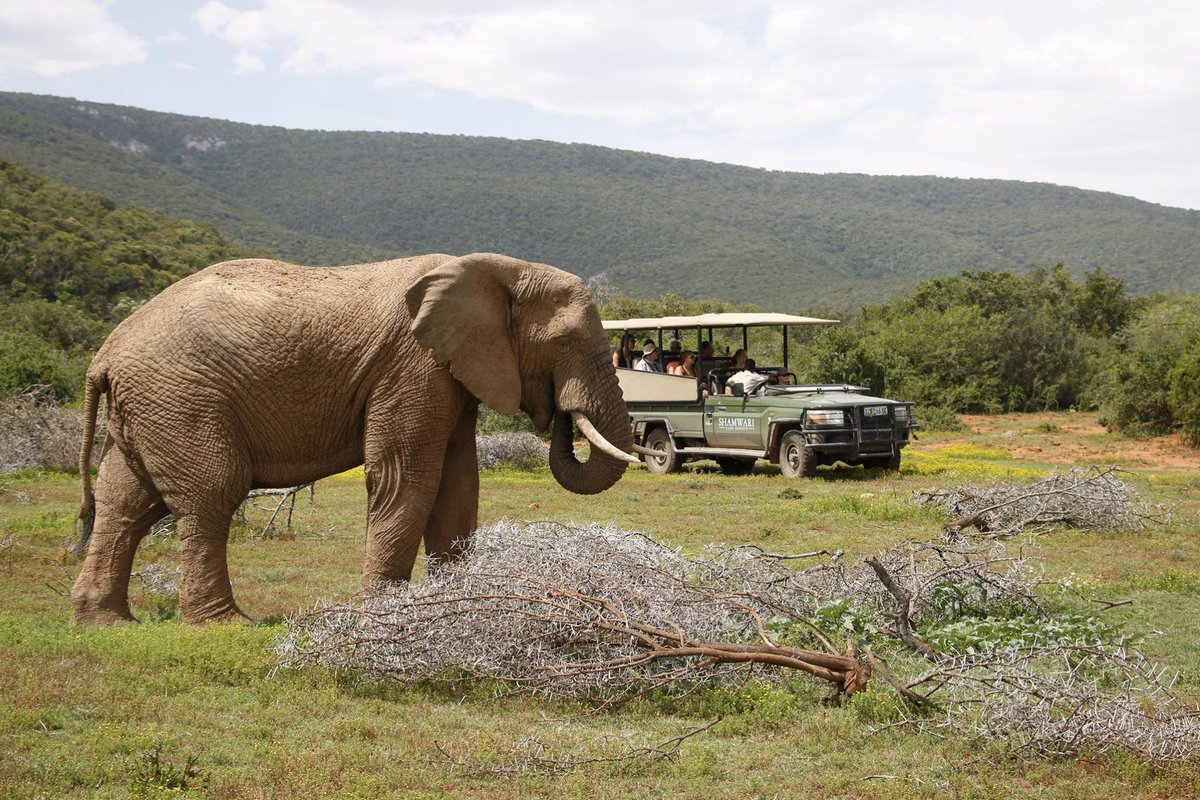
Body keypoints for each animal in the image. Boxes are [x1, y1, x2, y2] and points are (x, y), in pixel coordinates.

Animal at [70, 252, 637, 625]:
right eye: (565, 342)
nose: (559, 413)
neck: (497, 269)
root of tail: (104, 354)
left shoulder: (449, 373)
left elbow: (458, 485)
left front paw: (461, 604)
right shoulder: (412, 366)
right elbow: (406, 477)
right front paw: (385, 612)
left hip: (151, 407)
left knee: (125, 500)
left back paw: (106, 622)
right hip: (180, 398)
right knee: (210, 493)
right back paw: (226, 624)